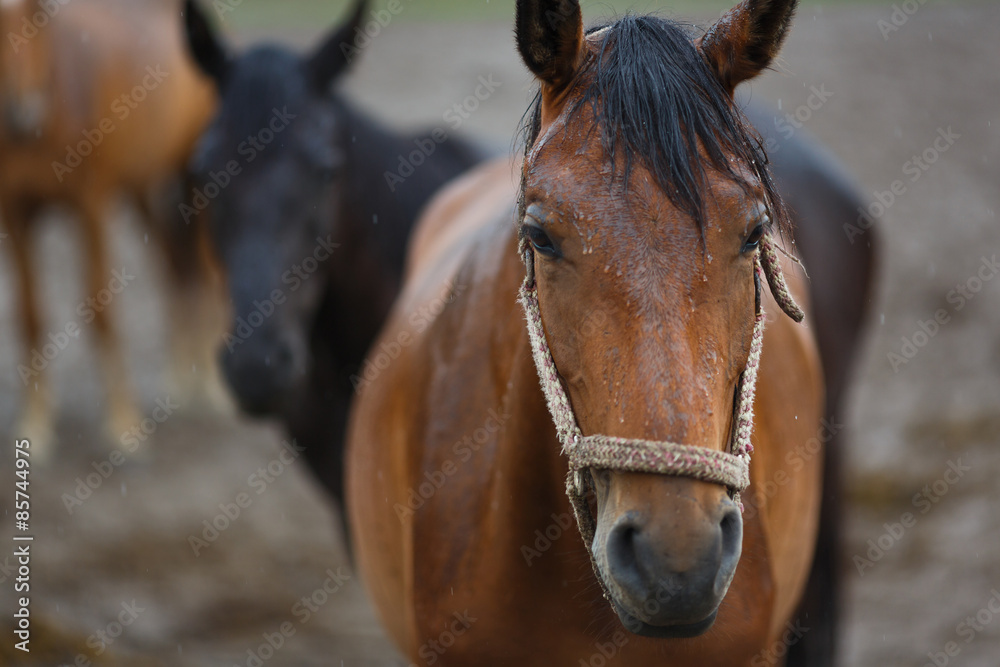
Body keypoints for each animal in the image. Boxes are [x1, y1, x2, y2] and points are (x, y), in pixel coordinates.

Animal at [0, 0, 219, 460]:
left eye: (37, 17)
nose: (19, 111)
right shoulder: (13, 214)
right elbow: (28, 314)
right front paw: (35, 425)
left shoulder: (91, 207)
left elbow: (101, 308)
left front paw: (123, 425)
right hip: (142, 191)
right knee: (172, 269)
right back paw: (179, 378)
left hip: (199, 178)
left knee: (207, 272)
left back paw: (211, 383)